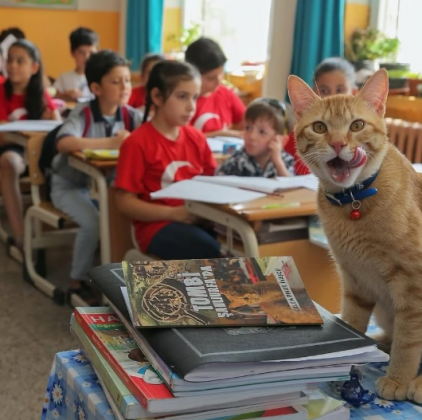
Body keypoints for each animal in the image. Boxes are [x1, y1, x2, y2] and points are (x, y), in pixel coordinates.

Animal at [288, 69, 422, 404]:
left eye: (357, 126)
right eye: (320, 127)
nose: (338, 144)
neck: (354, 202)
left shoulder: (414, 286)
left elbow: (409, 339)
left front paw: (399, 378)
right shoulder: (355, 280)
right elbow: (352, 323)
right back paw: (380, 342)